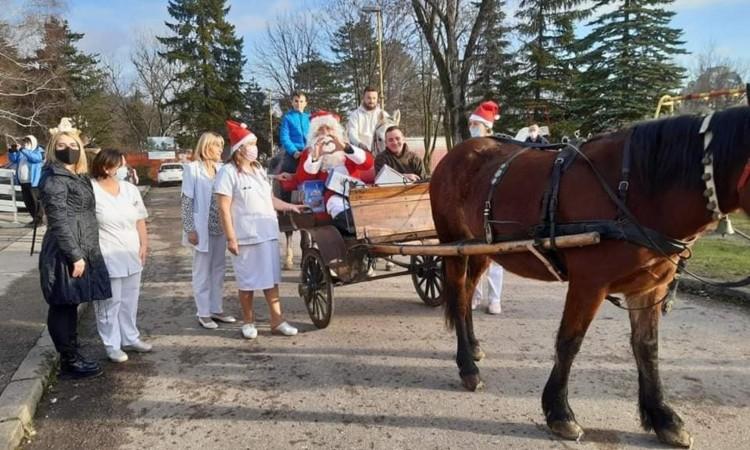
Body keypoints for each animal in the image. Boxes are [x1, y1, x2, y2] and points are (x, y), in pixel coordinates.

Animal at [428, 107, 750, 448]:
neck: (635, 188)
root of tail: (456, 153)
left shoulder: (649, 287)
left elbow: (647, 347)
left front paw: (662, 417)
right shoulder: (588, 284)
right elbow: (570, 341)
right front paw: (559, 413)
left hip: (480, 249)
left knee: (467, 294)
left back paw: (473, 347)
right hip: (452, 244)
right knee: (458, 296)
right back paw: (467, 366)